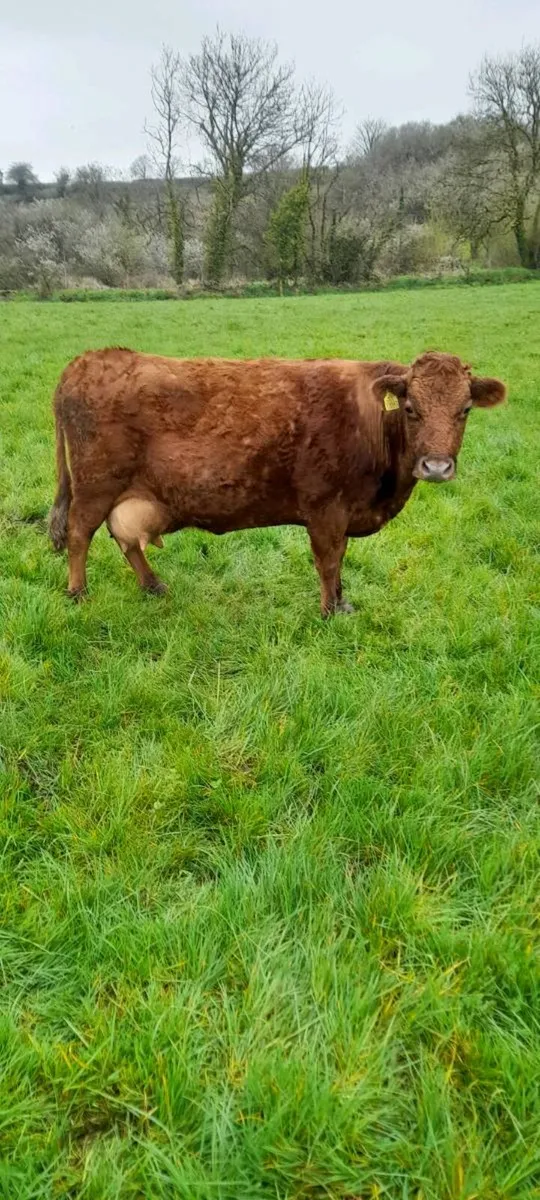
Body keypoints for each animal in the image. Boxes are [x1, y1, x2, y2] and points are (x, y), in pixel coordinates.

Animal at [48, 349, 506, 616]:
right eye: (411, 408)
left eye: (465, 409)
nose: (436, 466)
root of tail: (88, 359)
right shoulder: (325, 509)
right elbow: (328, 561)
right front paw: (329, 611)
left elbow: (340, 561)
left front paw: (343, 603)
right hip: (95, 484)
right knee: (79, 533)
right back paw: (78, 593)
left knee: (124, 537)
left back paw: (153, 585)